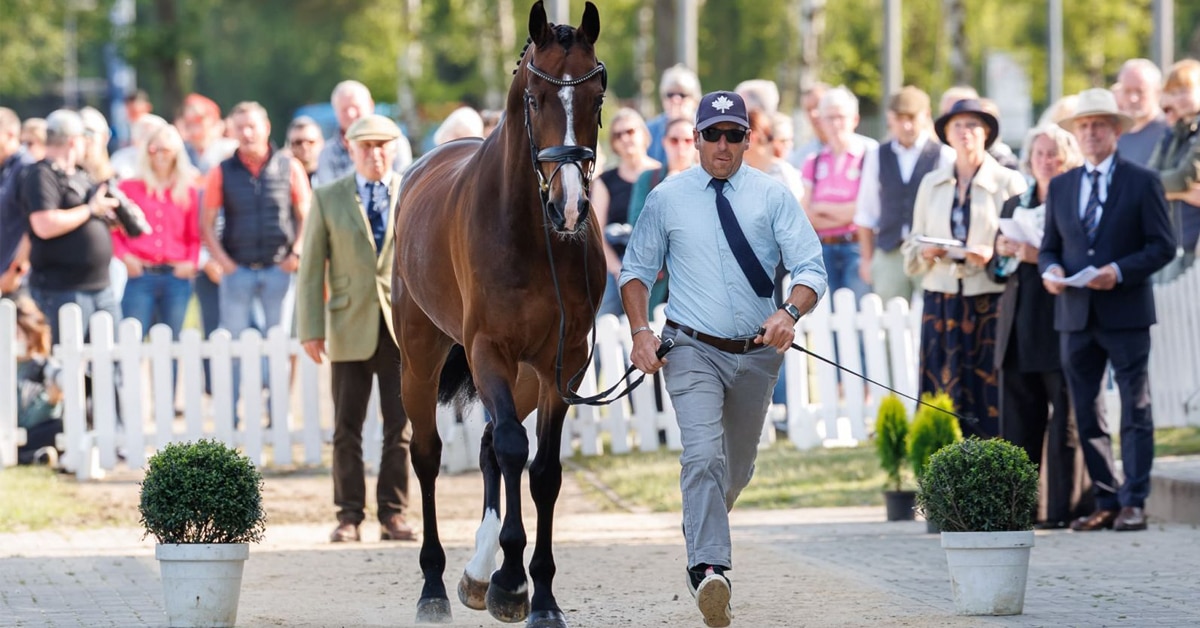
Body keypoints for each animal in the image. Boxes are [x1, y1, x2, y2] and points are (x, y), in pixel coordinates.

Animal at [390, 2, 607, 626]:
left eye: (597, 97)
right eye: (534, 97)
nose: (570, 207)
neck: (533, 234)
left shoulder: (564, 365)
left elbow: (543, 470)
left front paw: (542, 595)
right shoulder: (489, 351)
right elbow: (513, 449)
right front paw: (513, 582)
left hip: (527, 377)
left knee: (490, 444)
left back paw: (476, 573)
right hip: (421, 361)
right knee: (429, 456)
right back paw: (435, 586)